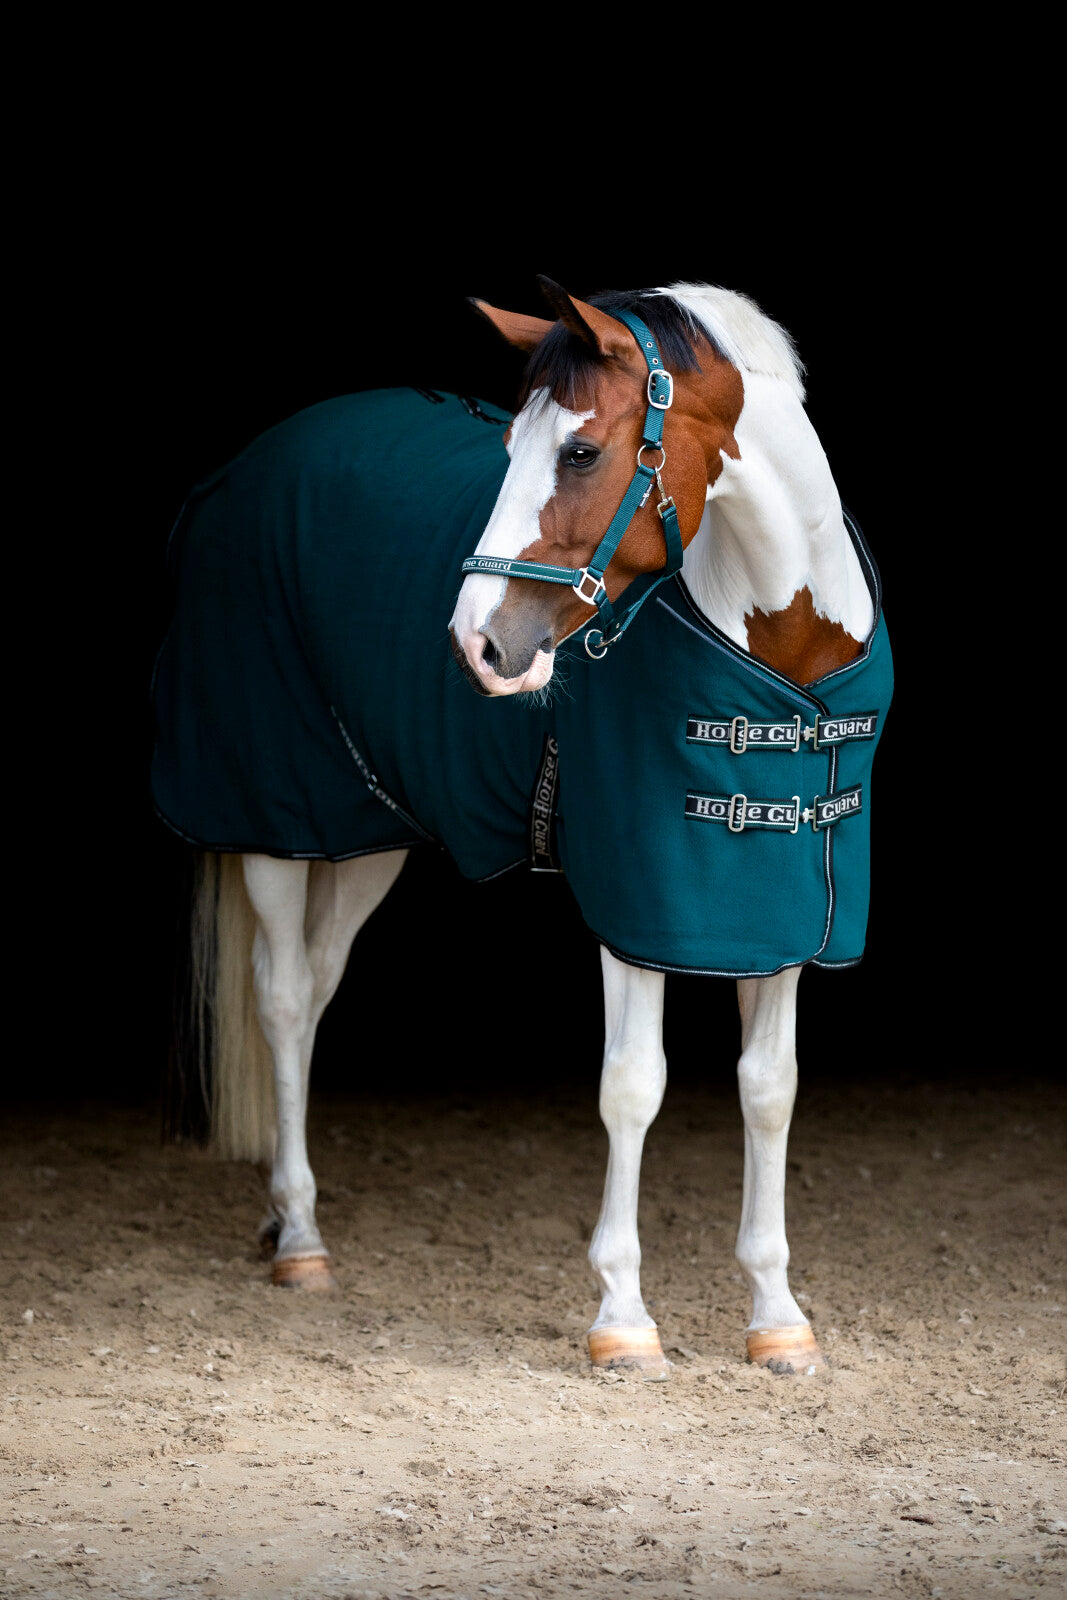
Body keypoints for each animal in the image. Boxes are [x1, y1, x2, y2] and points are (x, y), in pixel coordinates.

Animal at [153, 277, 892, 1381]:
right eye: (509, 447)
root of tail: (248, 464)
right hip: (273, 815)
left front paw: (776, 1316)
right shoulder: (639, 899)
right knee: (282, 998)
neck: (785, 655)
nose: (475, 643)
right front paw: (622, 1317)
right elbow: (633, 1085)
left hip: (366, 832)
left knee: (317, 987)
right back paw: (301, 1240)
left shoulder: (778, 904)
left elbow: (769, 1089)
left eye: (580, 452)